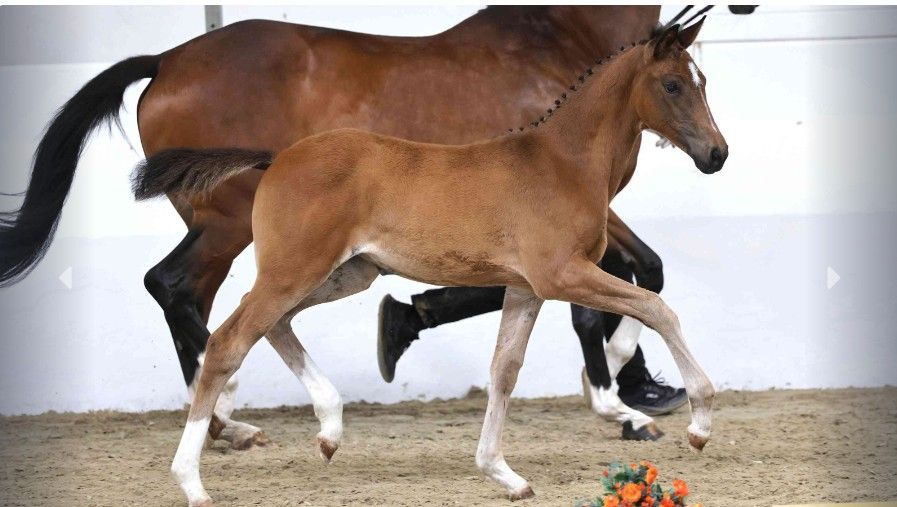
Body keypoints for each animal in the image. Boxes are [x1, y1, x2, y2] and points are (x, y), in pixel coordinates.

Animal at [0, 6, 676, 445]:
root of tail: (166, 60)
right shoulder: (567, 217)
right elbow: (630, 273)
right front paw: (626, 401)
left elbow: (623, 274)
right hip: (231, 223)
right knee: (177, 288)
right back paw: (231, 413)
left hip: (225, 229)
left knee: (189, 295)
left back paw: (221, 421)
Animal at [133, 20, 726, 504]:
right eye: (673, 85)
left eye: (702, 82)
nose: (717, 154)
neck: (561, 160)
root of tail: (276, 158)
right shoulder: (562, 274)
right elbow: (656, 307)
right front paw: (695, 420)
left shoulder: (526, 287)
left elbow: (504, 370)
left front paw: (503, 474)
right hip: (293, 270)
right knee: (228, 341)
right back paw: (194, 479)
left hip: (345, 274)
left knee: (273, 325)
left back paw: (329, 430)